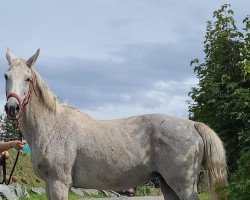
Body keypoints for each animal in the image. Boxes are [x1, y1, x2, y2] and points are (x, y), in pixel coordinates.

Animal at [3, 48, 228, 200]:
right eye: (6, 76)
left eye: (28, 78)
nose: (12, 108)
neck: (51, 127)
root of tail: (192, 125)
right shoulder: (50, 184)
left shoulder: (59, 182)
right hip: (168, 185)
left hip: (183, 185)